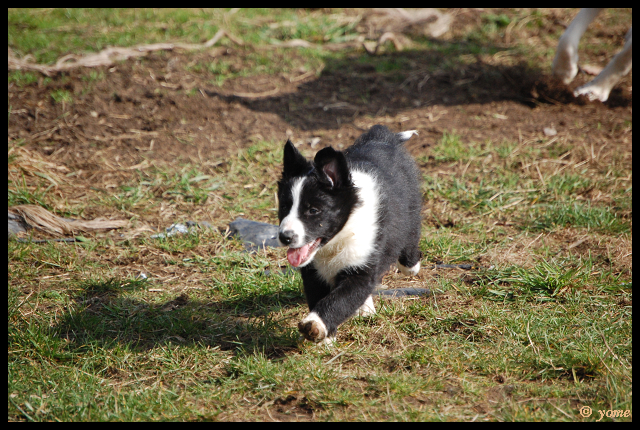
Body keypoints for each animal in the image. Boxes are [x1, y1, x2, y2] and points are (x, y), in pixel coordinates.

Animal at [276, 123, 422, 342]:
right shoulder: (313, 272)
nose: (284, 237)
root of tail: (382, 137)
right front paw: (326, 337)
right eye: (284, 206)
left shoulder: (361, 268)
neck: (339, 237)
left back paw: (410, 265)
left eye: (313, 210)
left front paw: (315, 324)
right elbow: (321, 296)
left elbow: (340, 299)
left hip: (411, 210)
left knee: (411, 241)